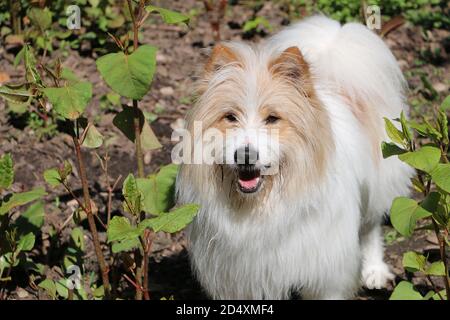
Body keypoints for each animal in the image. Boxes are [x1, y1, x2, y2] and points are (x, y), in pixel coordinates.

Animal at [174, 15, 414, 300]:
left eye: (272, 118)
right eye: (230, 117)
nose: (245, 155)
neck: (261, 205)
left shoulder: (326, 275)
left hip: (377, 185)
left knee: (371, 226)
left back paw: (374, 270)